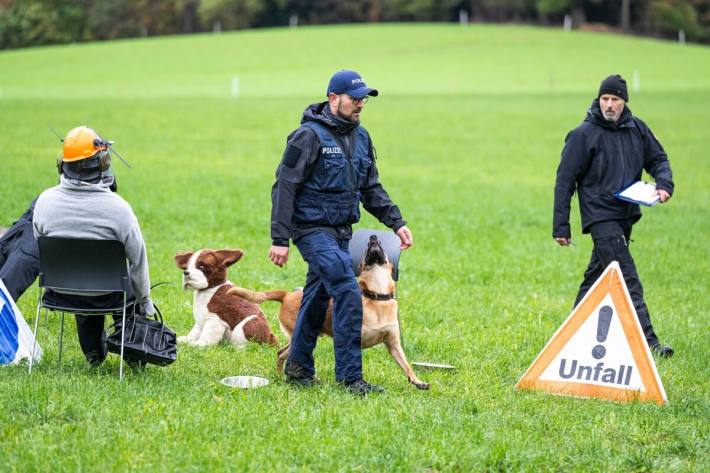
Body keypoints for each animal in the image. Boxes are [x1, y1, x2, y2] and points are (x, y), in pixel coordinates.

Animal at [229, 235, 428, 388]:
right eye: (366, 252)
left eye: (380, 246)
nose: (373, 237)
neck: (376, 296)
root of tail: (287, 295)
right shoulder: (351, 339)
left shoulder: (393, 344)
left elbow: (407, 365)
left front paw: (417, 381)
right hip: (298, 335)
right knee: (283, 354)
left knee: (282, 354)